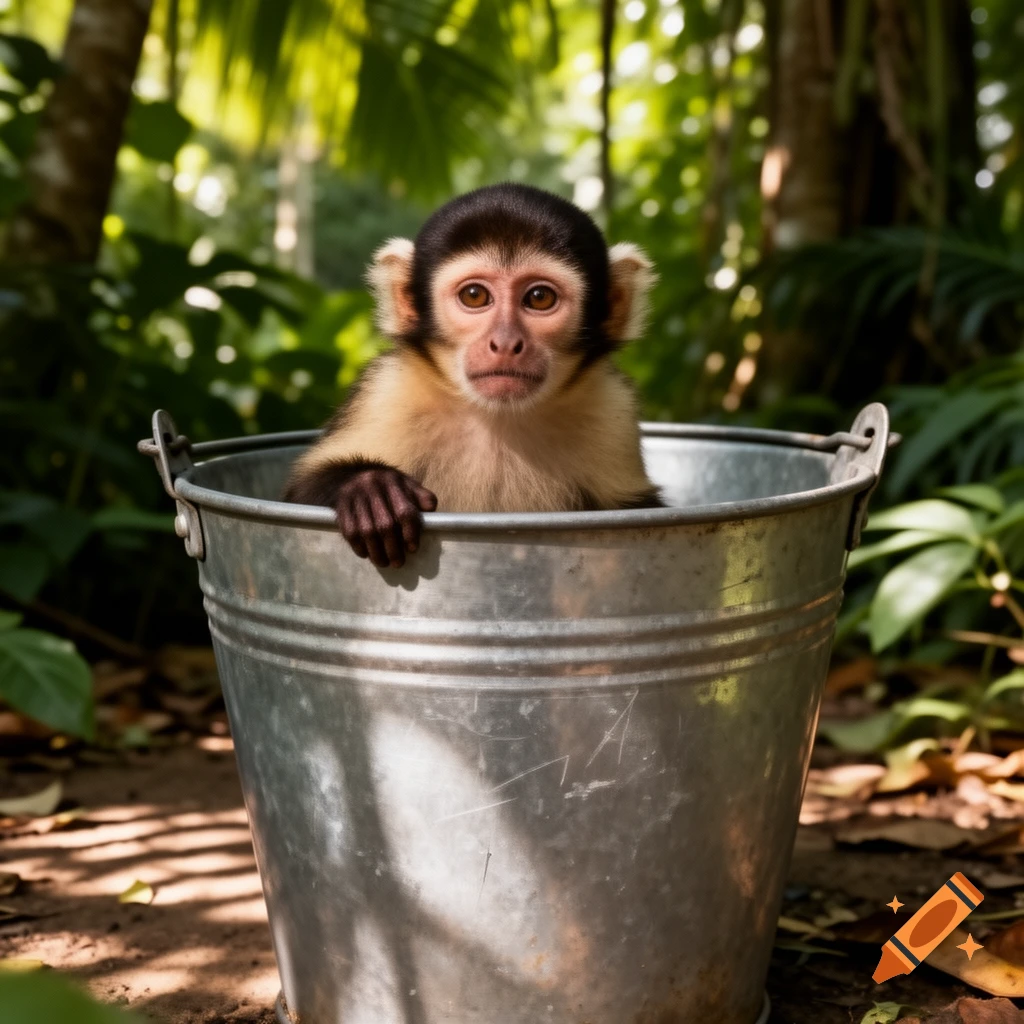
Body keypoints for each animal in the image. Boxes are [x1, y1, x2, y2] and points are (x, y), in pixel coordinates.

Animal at [283, 183, 663, 569]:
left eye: (539, 297)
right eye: (475, 295)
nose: (506, 343)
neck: (498, 417)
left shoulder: (611, 408)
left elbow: (639, 508)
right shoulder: (386, 389)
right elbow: (297, 494)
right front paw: (368, 489)